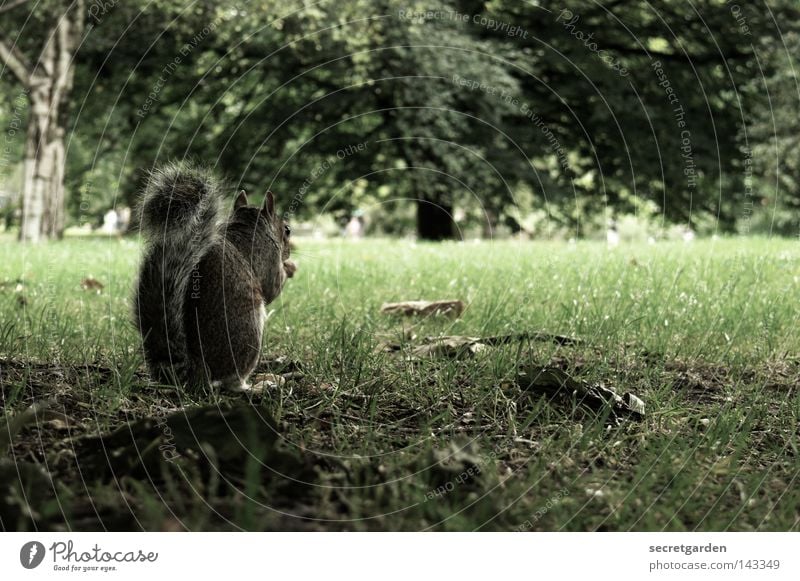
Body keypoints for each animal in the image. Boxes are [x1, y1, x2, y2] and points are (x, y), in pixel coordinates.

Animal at [134, 161, 296, 392]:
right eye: (287, 230)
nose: (289, 253)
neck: (248, 226)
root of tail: (197, 372)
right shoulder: (267, 257)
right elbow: (272, 287)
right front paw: (289, 267)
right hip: (249, 330)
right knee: (232, 383)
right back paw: (260, 385)